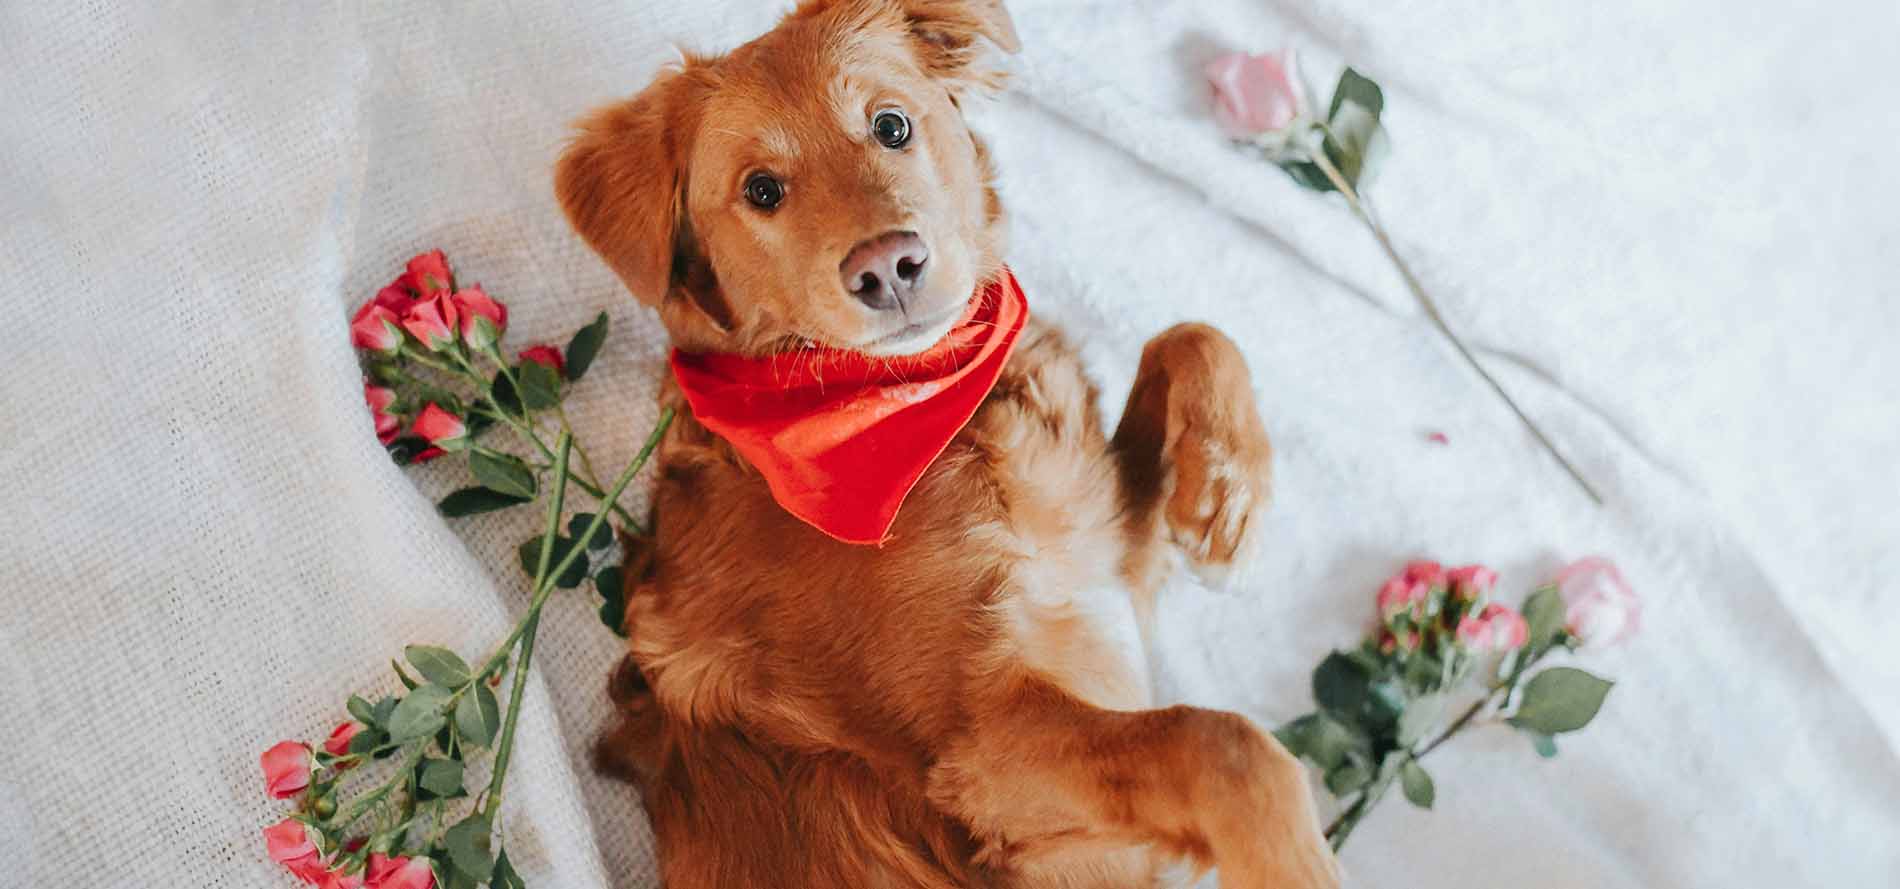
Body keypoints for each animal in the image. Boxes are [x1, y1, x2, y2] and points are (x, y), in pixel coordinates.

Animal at [554, 1, 1345, 889]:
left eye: (891, 125)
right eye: (761, 190)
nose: (886, 266)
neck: (939, 404)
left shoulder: (1110, 562)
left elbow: (1192, 334)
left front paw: (1223, 502)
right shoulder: (984, 751)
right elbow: (1225, 745)